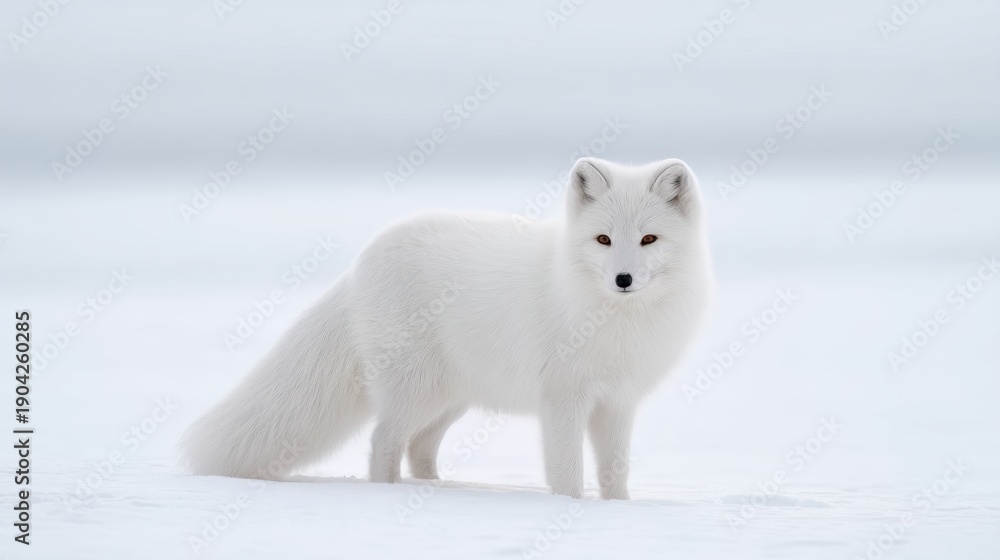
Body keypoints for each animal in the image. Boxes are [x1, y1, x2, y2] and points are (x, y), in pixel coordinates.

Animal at [182, 157, 713, 499]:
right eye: (603, 239)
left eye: (649, 239)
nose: (623, 279)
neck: (615, 321)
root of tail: (359, 263)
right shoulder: (563, 398)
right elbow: (566, 472)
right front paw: (571, 508)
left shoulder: (619, 401)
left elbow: (615, 474)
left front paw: (618, 512)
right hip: (415, 388)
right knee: (384, 441)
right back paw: (389, 494)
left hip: (450, 396)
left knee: (419, 447)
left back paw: (441, 489)